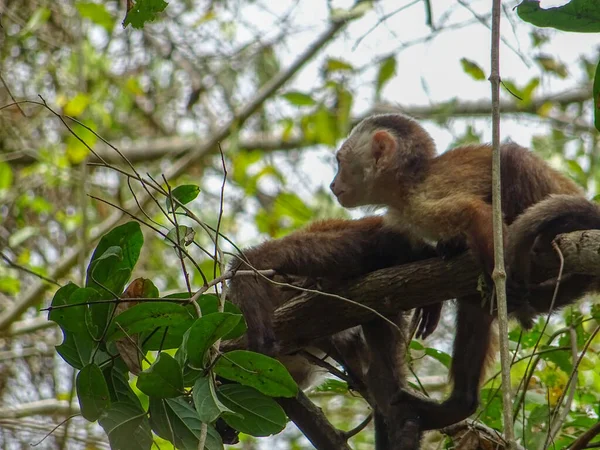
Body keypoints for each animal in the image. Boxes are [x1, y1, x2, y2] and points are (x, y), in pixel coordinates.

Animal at [330, 111, 600, 428]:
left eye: (340, 162)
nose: (333, 184)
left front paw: (508, 289)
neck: (406, 184)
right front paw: (435, 290)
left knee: (511, 159)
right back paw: (460, 404)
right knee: (474, 304)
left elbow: (477, 215)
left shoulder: (421, 200)